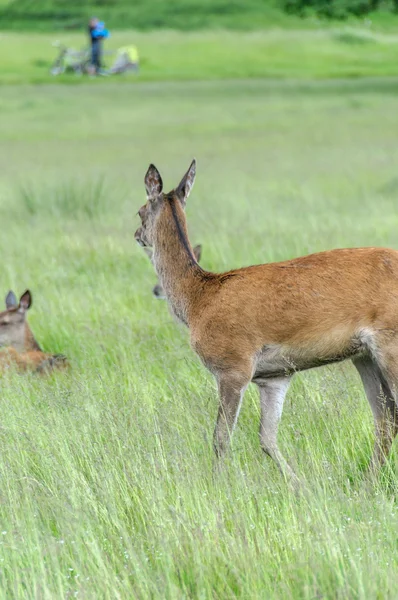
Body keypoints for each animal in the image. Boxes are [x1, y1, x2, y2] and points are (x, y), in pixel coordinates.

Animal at [135, 158, 398, 482]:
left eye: (140, 211)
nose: (136, 234)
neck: (197, 300)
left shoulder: (233, 365)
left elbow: (221, 438)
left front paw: (219, 484)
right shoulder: (275, 376)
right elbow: (267, 439)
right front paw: (299, 484)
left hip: (389, 342)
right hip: (364, 356)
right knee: (385, 417)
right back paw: (367, 482)